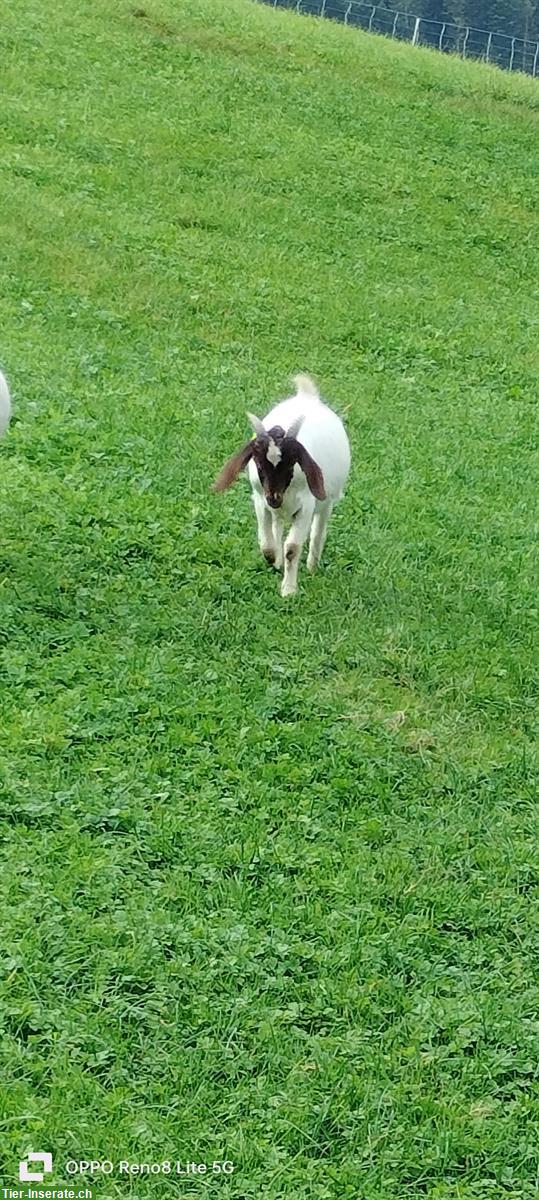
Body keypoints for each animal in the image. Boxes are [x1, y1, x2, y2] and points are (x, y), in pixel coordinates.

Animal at [210, 372, 348, 597]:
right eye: (258, 462)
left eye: (292, 461)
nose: (274, 497)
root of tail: (306, 395)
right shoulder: (260, 500)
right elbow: (266, 545)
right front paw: (273, 559)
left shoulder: (306, 506)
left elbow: (292, 548)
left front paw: (289, 590)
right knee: (277, 525)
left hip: (327, 501)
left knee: (319, 530)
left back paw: (312, 565)